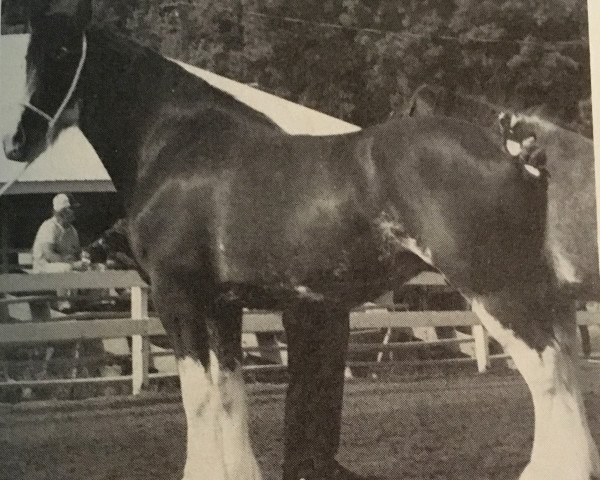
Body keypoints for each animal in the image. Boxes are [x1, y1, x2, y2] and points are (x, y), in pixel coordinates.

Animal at [4, 1, 600, 478]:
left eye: (62, 52)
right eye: (28, 57)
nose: (16, 142)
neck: (177, 146)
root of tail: (515, 151)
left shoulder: (179, 298)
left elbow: (198, 399)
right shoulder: (223, 306)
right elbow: (231, 397)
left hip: (495, 289)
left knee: (549, 378)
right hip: (534, 290)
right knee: (566, 370)